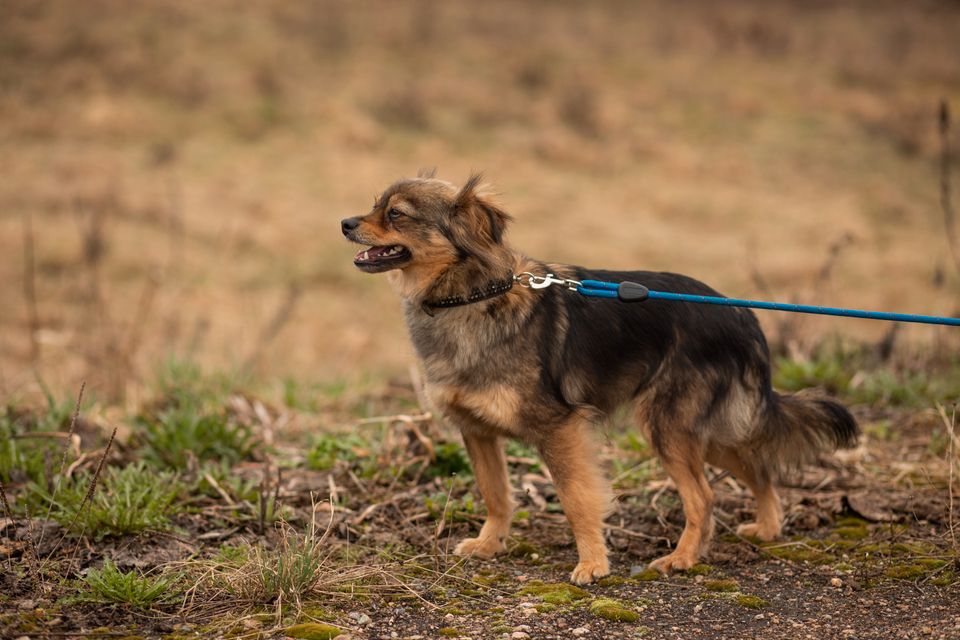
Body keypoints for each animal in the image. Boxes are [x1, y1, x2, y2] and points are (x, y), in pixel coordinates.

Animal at [342, 172, 860, 584]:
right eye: (374, 204)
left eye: (396, 213)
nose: (345, 223)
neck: (470, 296)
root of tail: (741, 316)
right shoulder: (477, 431)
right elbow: (495, 494)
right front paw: (490, 545)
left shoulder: (559, 428)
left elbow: (576, 498)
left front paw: (592, 564)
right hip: (705, 430)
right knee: (758, 465)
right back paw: (768, 528)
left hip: (668, 426)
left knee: (705, 496)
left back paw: (683, 558)